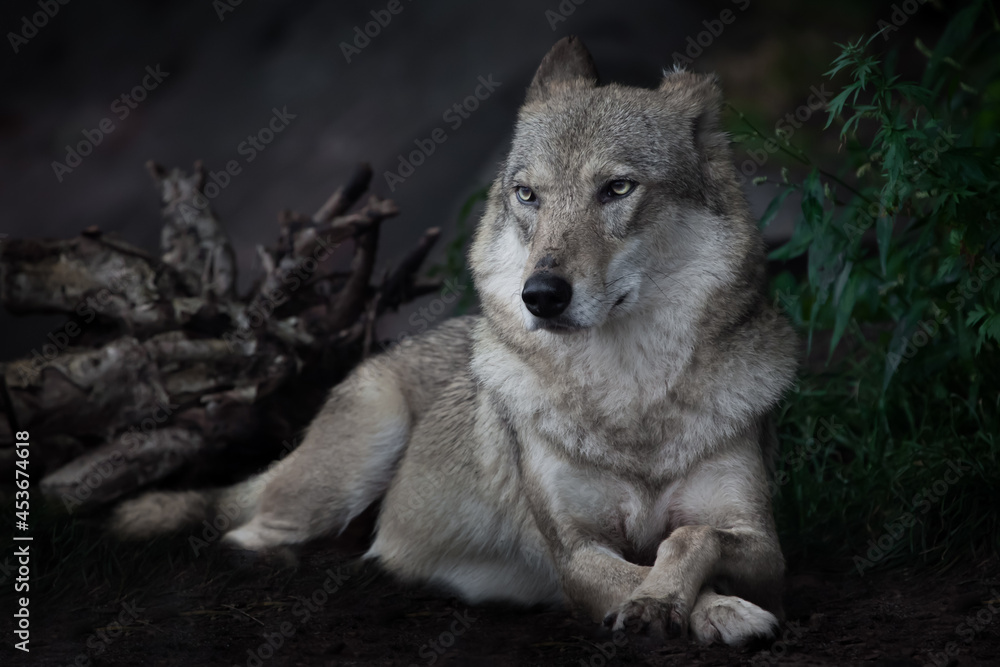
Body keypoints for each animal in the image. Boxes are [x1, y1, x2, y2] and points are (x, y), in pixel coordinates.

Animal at [112, 36, 798, 646]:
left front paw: (696, 604)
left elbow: (689, 537)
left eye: (617, 189)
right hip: (356, 458)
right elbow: (632, 572)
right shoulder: (574, 553)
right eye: (528, 195)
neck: (630, 400)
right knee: (247, 532)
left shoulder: (764, 543)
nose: (540, 294)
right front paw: (687, 606)